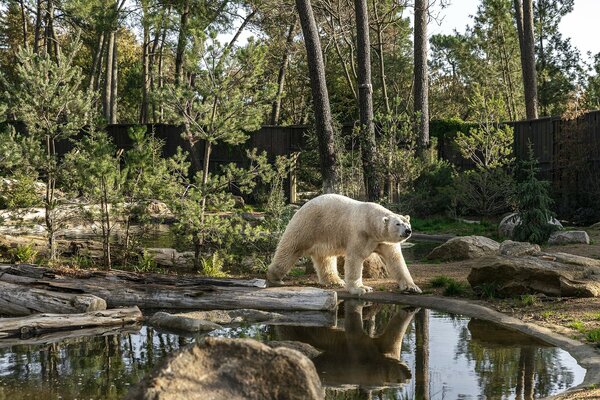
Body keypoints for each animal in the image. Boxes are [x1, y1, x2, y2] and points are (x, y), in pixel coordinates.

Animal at [268, 195, 422, 296]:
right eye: (398, 224)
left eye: (407, 223)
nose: (408, 231)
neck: (370, 223)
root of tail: (302, 206)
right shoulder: (359, 233)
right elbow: (355, 258)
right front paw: (362, 289)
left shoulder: (384, 241)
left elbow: (395, 260)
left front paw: (412, 287)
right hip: (307, 225)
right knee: (290, 249)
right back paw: (274, 277)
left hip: (324, 235)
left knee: (325, 258)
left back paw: (334, 281)